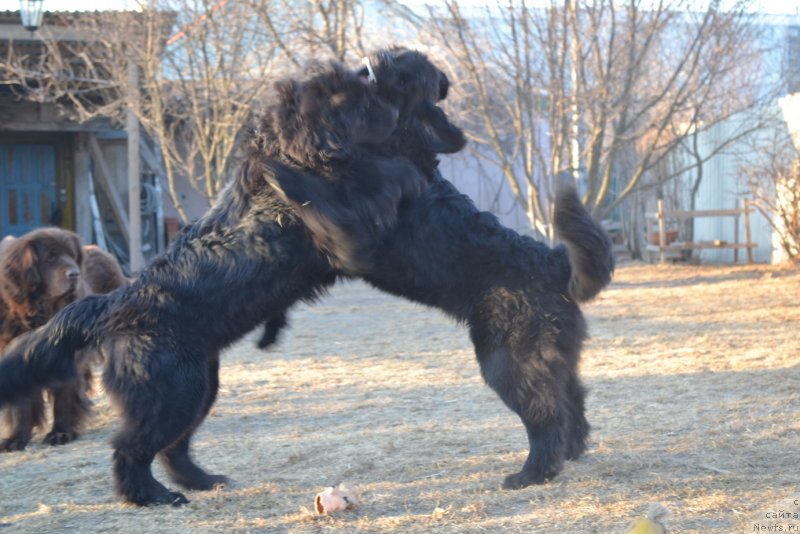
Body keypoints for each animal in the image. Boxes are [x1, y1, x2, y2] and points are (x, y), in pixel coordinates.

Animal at [0, 229, 126, 452]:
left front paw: (61, 433)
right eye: (50, 258)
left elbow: (63, 399)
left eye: (72, 256)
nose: (75, 274)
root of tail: (101, 250)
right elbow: (21, 404)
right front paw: (16, 438)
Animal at [260, 49, 616, 490]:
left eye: (408, 76)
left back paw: (532, 472)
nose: (384, 55)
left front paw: (280, 171)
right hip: (554, 357)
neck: (398, 143)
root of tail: (555, 262)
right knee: (573, 401)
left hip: (509, 361)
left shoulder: (356, 235)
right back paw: (570, 452)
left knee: (547, 414)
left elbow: (319, 202)